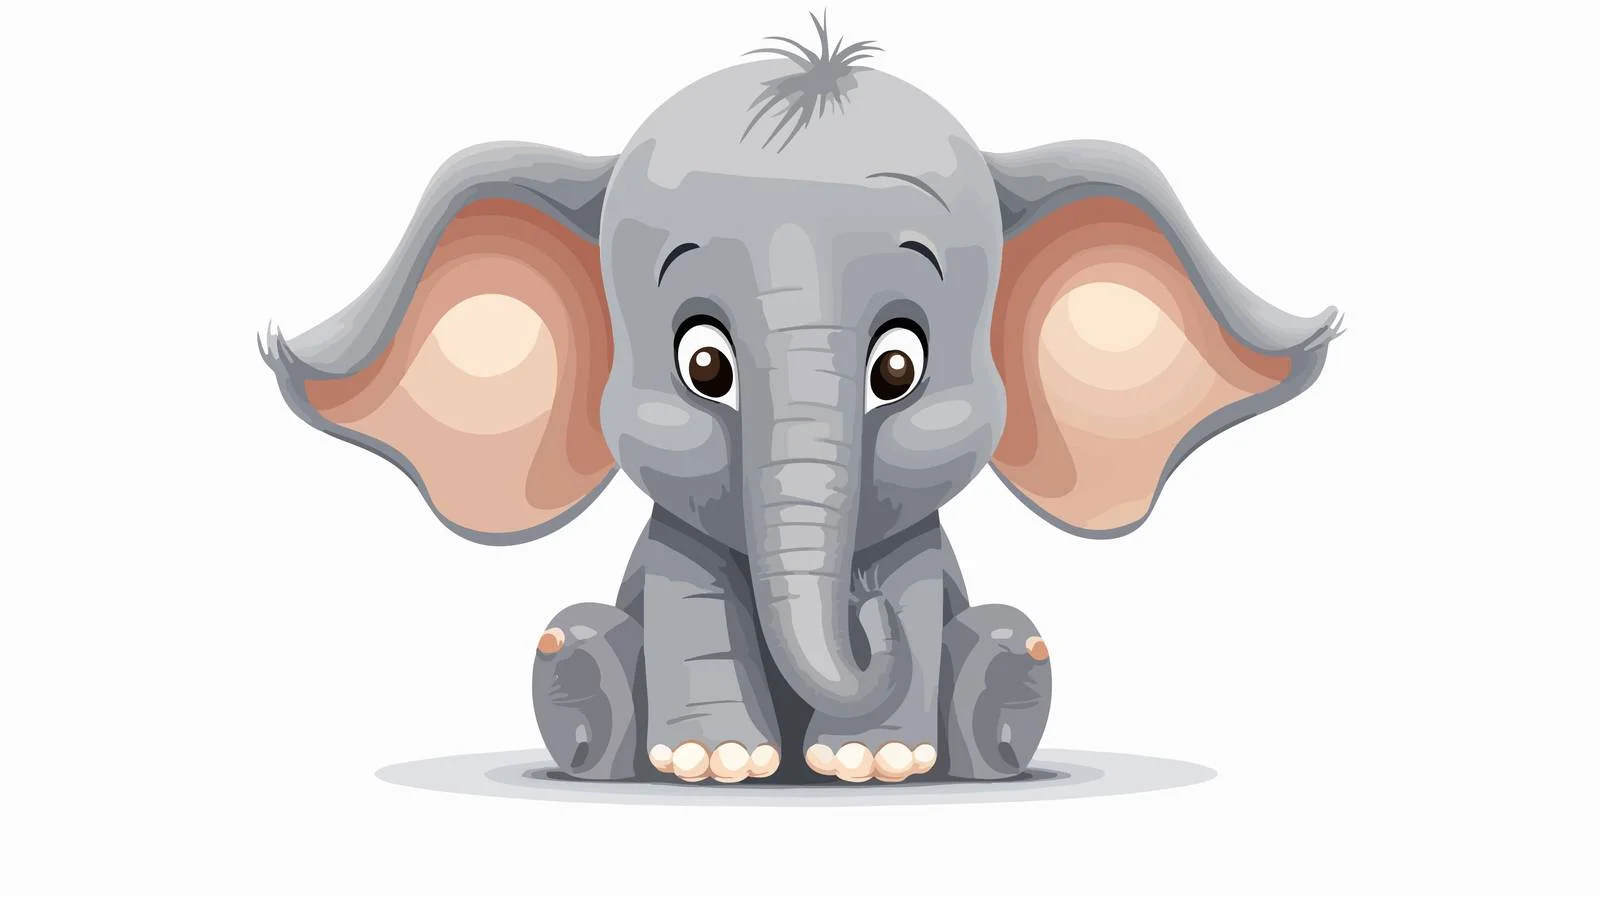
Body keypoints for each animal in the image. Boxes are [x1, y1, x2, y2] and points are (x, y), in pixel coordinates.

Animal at [261, 16, 1339, 784]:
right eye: (704, 365)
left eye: (897, 369)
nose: (861, 612)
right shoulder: (673, 548)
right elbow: (684, 594)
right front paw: (716, 765)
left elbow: (920, 588)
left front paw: (874, 762)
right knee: (572, 629)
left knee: (1012, 634)